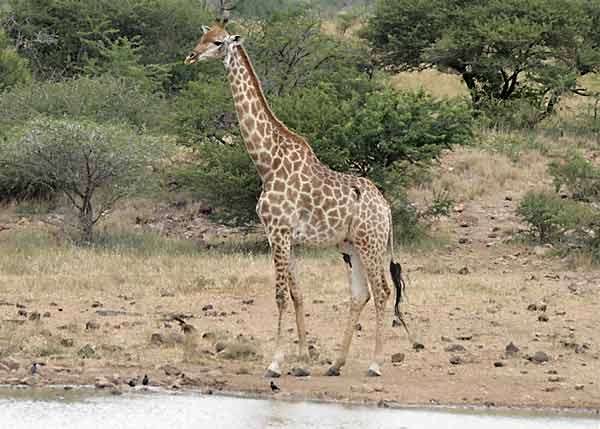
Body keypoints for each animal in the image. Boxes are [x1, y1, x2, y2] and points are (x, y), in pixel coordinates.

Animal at [184, 18, 408, 376]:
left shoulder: (279, 231)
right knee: (360, 295)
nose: (191, 56)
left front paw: (275, 362)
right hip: (352, 247)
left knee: (383, 291)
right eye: (202, 36)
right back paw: (335, 364)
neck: (267, 162)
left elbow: (279, 295)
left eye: (219, 42)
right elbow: (297, 293)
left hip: (371, 243)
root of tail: (386, 208)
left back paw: (374, 364)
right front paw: (302, 356)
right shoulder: (280, 235)